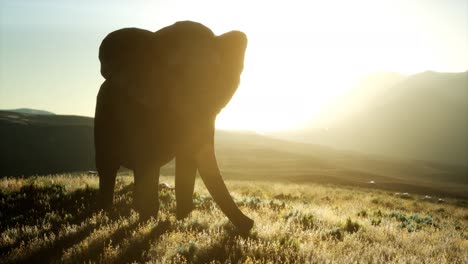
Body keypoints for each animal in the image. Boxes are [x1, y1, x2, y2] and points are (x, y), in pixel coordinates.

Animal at [94, 21, 254, 233]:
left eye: (215, 74)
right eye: (174, 72)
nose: (250, 224)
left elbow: (188, 156)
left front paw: (181, 221)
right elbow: (149, 160)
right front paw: (147, 221)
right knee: (108, 166)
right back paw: (106, 212)